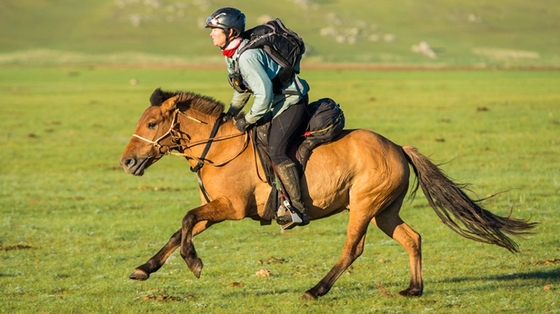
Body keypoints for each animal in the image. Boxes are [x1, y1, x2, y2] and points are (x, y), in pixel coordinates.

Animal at [120, 87, 536, 300]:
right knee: (412, 238)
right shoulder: (216, 208)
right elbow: (180, 230)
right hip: (384, 211)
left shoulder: (231, 208)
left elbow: (186, 220)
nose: (127, 162)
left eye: (152, 123)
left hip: (364, 206)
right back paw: (414, 289)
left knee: (353, 248)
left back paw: (316, 289)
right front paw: (145, 268)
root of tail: (398, 147)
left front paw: (194, 263)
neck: (221, 146)